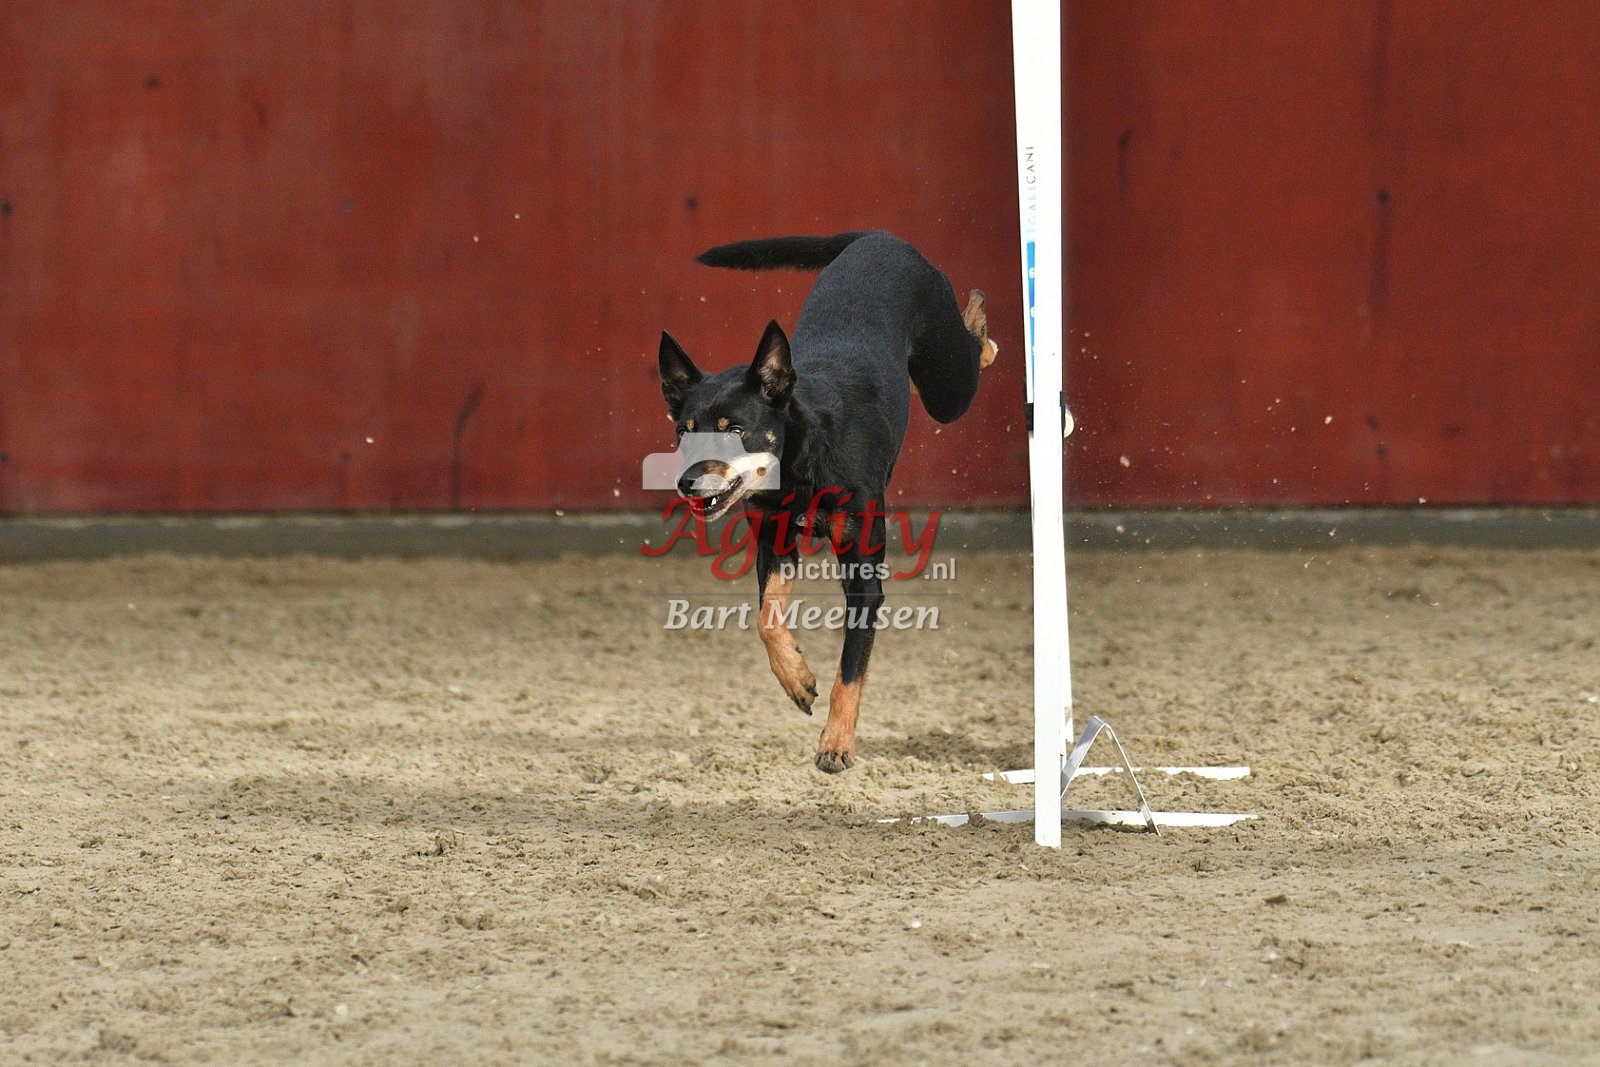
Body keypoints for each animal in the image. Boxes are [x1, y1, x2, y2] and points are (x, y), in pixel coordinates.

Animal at [656, 231, 996, 772]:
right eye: (684, 433)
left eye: (735, 430)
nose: (688, 483)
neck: (800, 461)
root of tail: (879, 237)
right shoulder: (775, 543)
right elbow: (767, 618)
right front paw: (797, 679)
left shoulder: (863, 574)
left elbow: (851, 669)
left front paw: (836, 743)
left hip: (947, 384)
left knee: (974, 347)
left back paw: (979, 317)